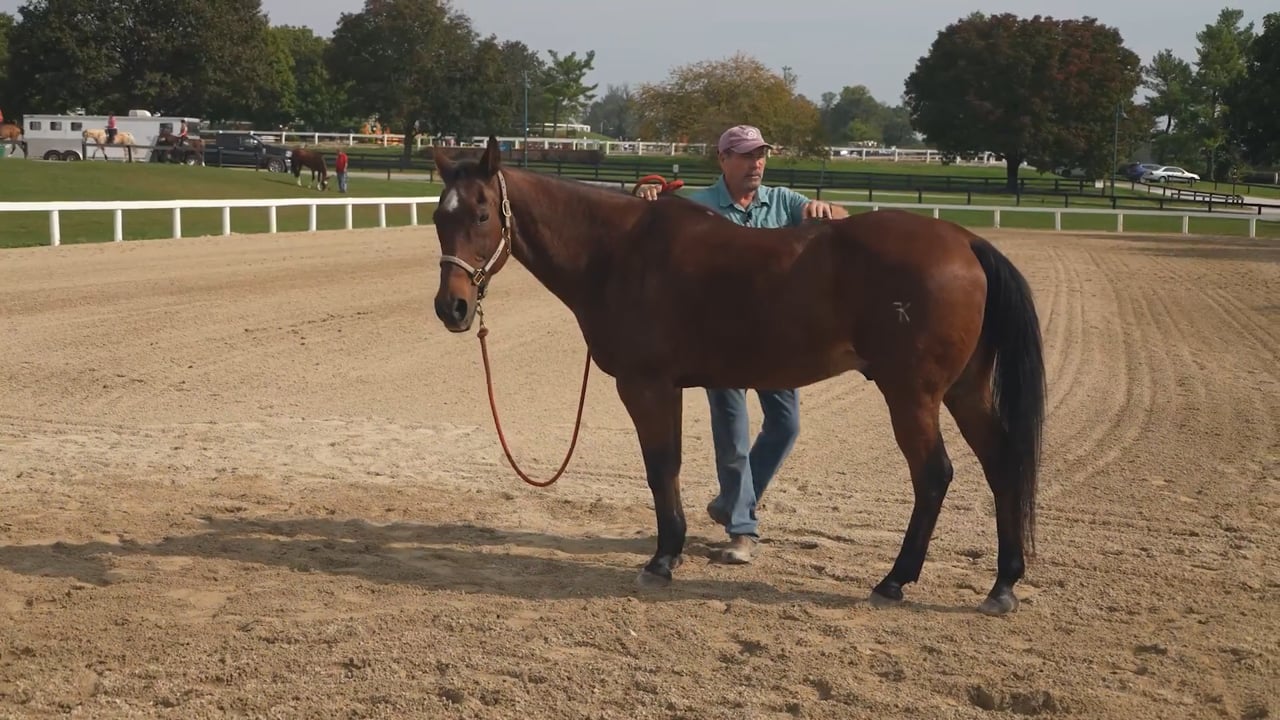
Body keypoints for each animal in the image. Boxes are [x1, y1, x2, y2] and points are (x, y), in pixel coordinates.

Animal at [429, 136, 1046, 616]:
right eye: (439, 217)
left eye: (481, 215)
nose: (451, 308)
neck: (618, 251)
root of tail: (966, 240)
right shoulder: (672, 388)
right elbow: (675, 466)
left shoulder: (645, 386)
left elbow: (661, 468)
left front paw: (662, 559)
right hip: (964, 392)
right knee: (1001, 465)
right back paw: (1002, 584)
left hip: (912, 396)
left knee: (934, 475)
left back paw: (894, 581)